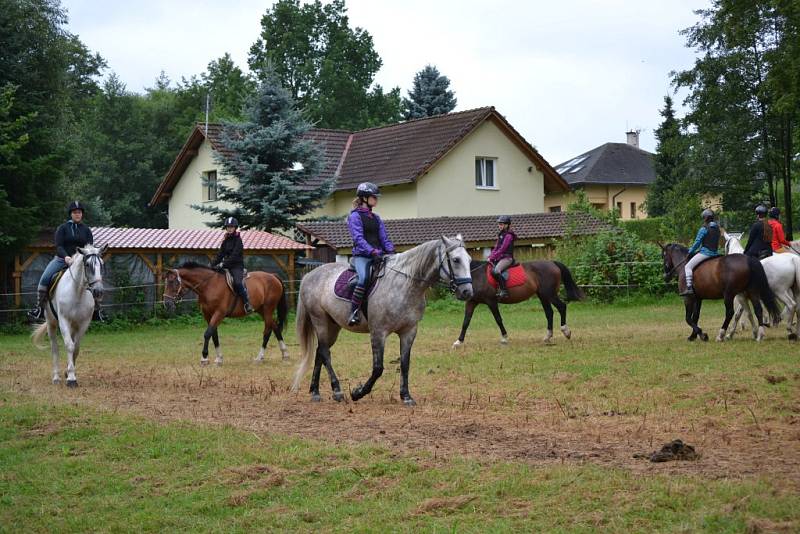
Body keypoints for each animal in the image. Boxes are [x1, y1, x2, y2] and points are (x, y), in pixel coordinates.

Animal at [31, 245, 107, 388]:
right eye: (87, 265)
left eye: (101, 264)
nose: (98, 291)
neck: (77, 292)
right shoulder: (63, 321)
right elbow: (69, 346)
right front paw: (71, 379)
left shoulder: (83, 323)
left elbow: (76, 348)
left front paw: (69, 372)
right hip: (51, 323)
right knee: (54, 347)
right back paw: (56, 377)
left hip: (73, 325)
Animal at [290, 237, 472, 408]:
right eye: (456, 260)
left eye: (469, 260)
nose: (467, 292)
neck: (405, 284)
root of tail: (309, 276)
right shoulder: (378, 332)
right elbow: (378, 368)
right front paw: (357, 393)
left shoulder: (409, 331)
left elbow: (405, 364)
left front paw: (406, 396)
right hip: (320, 321)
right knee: (325, 353)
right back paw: (337, 391)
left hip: (333, 326)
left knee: (320, 352)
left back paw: (315, 392)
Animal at [454, 262, 584, 350]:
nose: (460, 293)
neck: (476, 275)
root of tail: (552, 263)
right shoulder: (471, 302)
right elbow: (466, 322)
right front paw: (458, 342)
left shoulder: (491, 301)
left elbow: (498, 319)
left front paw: (504, 338)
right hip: (543, 295)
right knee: (549, 313)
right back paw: (547, 337)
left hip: (549, 294)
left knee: (561, 307)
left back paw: (566, 331)